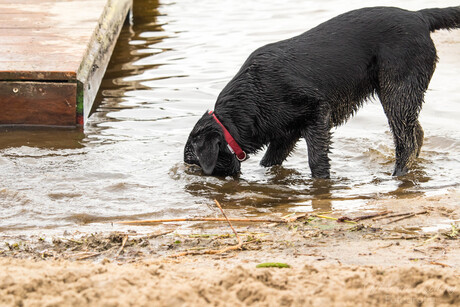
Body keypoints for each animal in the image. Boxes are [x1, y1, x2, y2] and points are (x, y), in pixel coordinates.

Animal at [184, 6, 460, 179]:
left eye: (193, 163)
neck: (253, 94)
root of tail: (419, 17)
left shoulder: (318, 111)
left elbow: (316, 159)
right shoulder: (285, 133)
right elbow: (269, 160)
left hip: (398, 90)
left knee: (406, 141)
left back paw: (397, 175)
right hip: (396, 93)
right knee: (417, 133)